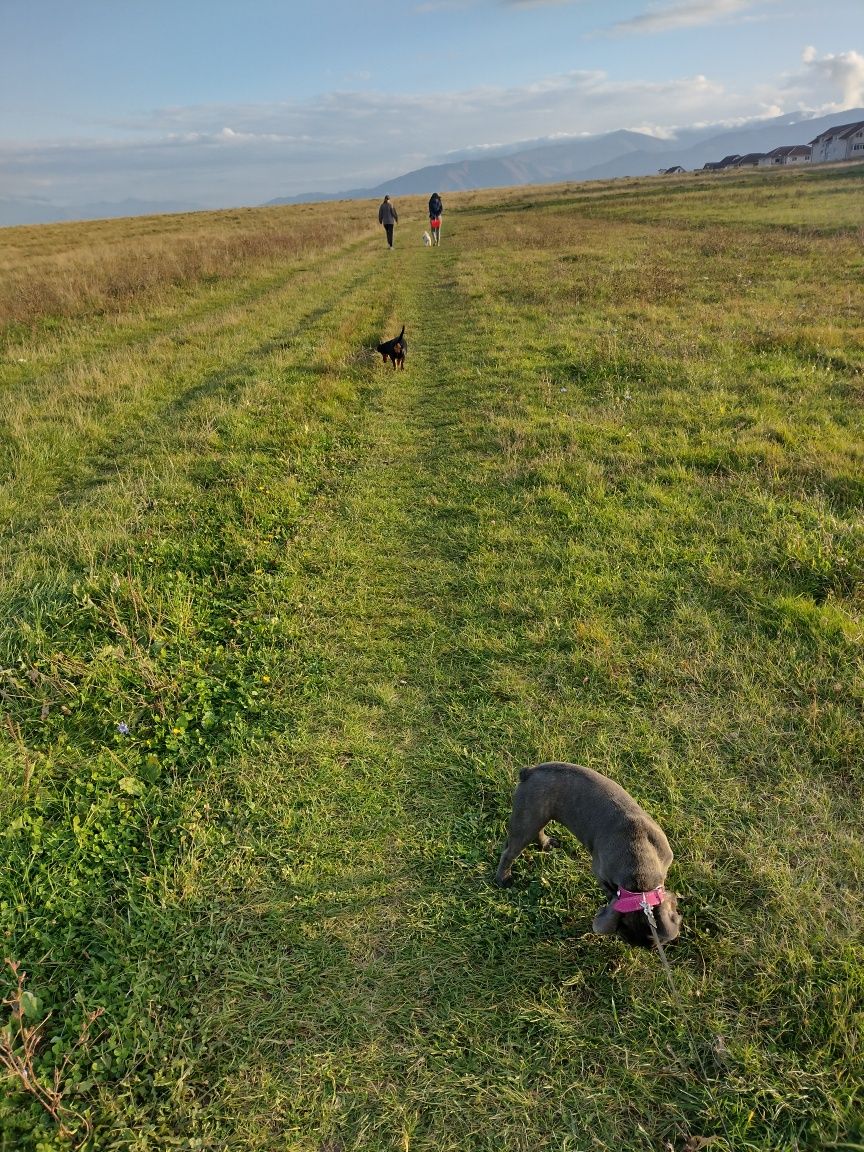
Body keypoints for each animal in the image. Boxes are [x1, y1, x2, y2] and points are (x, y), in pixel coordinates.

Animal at [497, 764, 681, 944]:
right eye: (624, 937)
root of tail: (529, 772)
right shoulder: (601, 874)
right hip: (526, 821)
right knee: (509, 853)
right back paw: (503, 878)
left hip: (538, 817)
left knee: (538, 831)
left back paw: (546, 844)